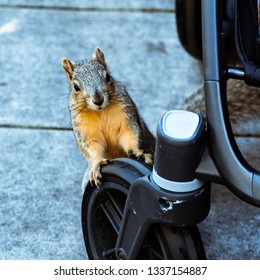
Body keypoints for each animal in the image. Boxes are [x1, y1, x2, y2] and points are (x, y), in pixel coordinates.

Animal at [61, 48, 154, 188]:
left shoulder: (126, 115)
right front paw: (97, 163)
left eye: (108, 77)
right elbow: (91, 146)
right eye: (75, 86)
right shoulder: (83, 127)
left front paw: (137, 151)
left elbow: (130, 133)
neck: (100, 112)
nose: (98, 100)